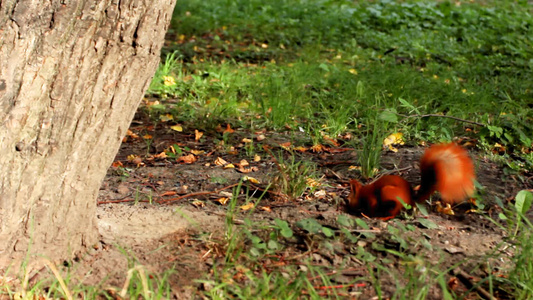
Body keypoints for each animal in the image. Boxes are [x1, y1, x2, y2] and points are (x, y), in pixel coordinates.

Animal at [348, 142, 476, 219]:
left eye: (349, 198)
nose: (346, 204)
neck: (363, 192)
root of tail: (411, 200)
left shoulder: (371, 199)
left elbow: (372, 208)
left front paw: (366, 214)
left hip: (388, 192)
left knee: (394, 212)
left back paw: (384, 217)